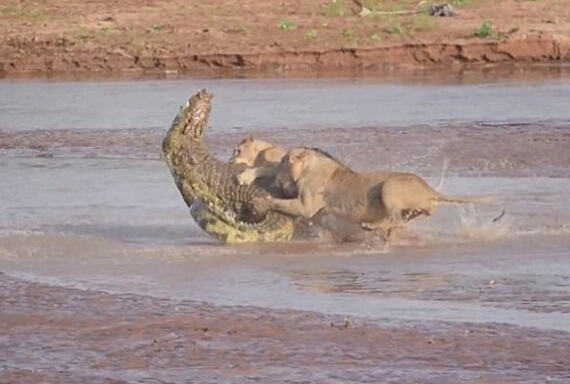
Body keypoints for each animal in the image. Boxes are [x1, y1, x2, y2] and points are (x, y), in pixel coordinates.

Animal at [250, 148, 492, 240]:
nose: (275, 179)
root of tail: (430, 189)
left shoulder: (306, 205)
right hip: (411, 209)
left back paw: (372, 227)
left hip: (389, 187)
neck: (310, 164)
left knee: (395, 220)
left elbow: (279, 202)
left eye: (283, 163)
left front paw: (259, 202)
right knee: (398, 222)